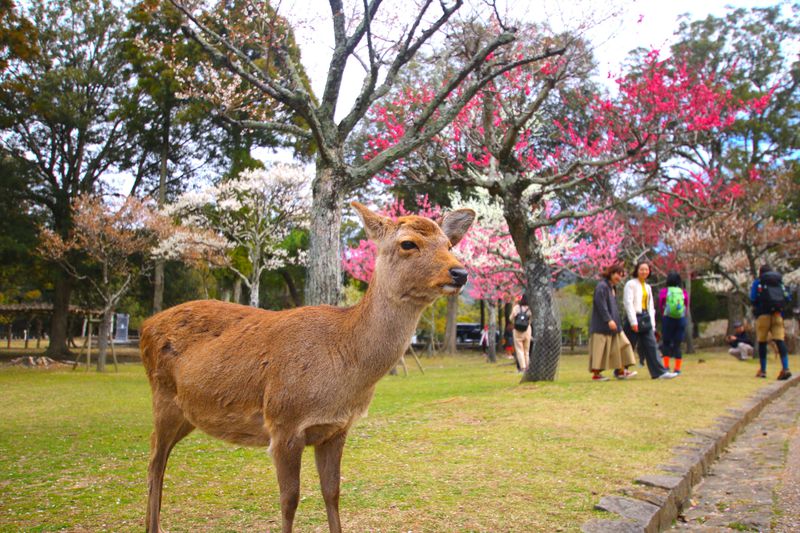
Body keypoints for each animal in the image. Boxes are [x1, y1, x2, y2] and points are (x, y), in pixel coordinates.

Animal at [141, 202, 476, 528]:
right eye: (408, 243)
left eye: (449, 244)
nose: (460, 272)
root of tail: (145, 325)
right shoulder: (283, 423)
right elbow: (289, 501)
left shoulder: (335, 428)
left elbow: (333, 492)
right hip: (163, 397)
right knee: (155, 458)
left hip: (187, 413)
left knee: (161, 455)